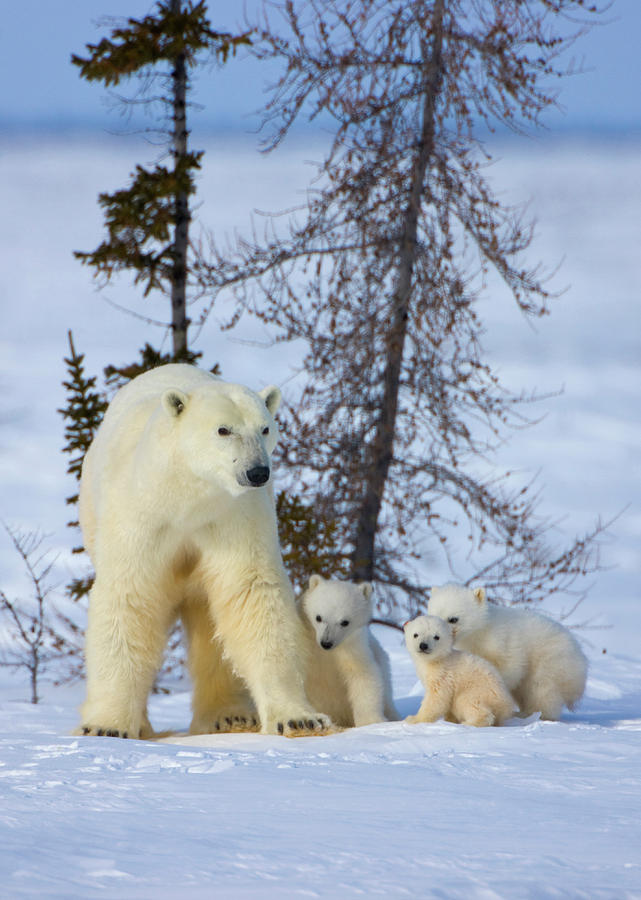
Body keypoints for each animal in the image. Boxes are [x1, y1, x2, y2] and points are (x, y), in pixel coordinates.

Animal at [77, 364, 332, 740]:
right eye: (223, 429)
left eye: (265, 427)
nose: (257, 471)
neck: (188, 499)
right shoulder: (141, 518)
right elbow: (129, 598)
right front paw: (107, 726)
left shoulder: (233, 518)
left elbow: (250, 593)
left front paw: (299, 720)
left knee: (211, 623)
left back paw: (229, 716)